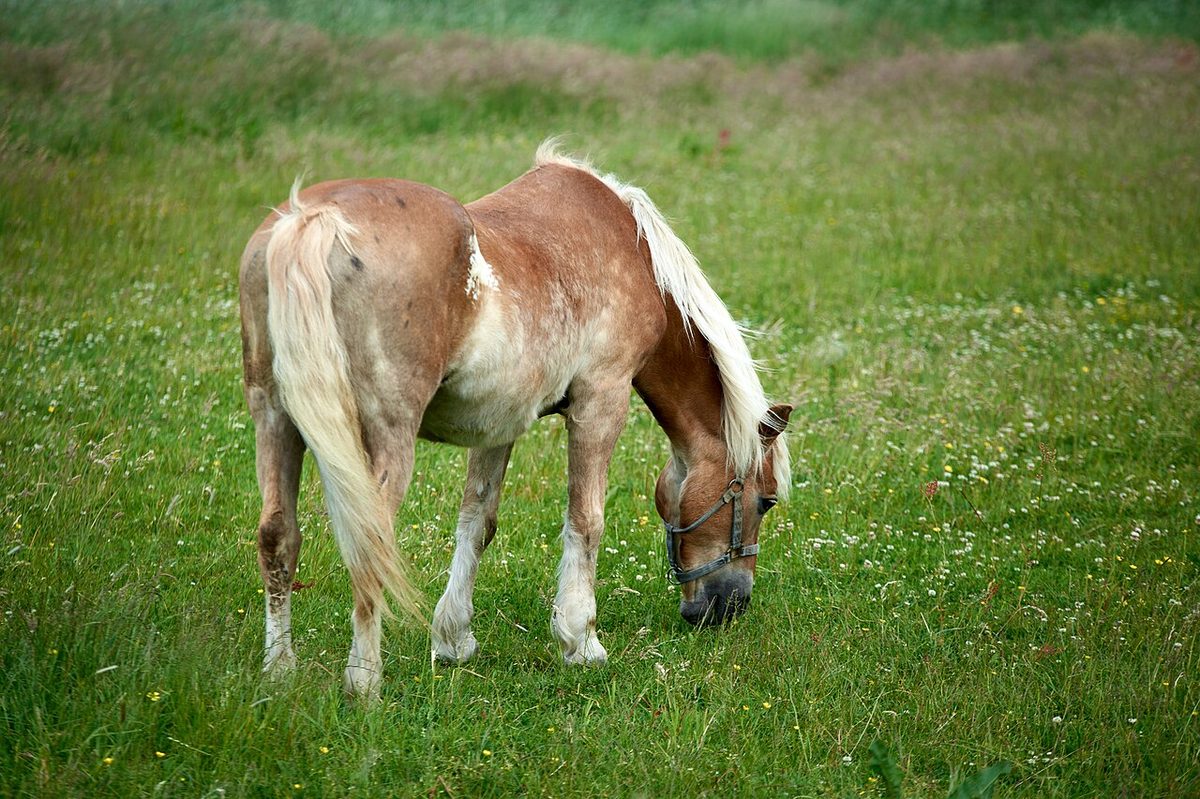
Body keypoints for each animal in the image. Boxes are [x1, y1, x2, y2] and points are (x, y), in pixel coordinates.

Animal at [239, 141, 792, 700]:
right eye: (764, 501)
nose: (731, 607)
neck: (631, 248)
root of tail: (312, 220)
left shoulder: (496, 424)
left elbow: (477, 521)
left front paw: (453, 638)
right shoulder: (602, 400)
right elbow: (586, 520)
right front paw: (581, 641)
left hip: (275, 420)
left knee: (278, 536)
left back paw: (279, 670)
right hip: (388, 437)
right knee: (369, 543)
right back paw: (364, 683)